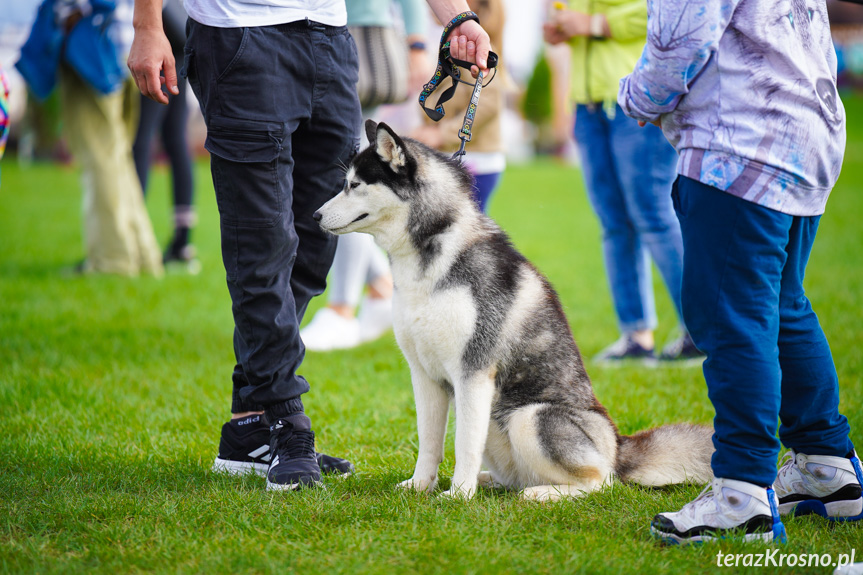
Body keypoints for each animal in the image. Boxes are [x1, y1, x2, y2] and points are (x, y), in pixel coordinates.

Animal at [314, 120, 712, 500]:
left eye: (354, 185)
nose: (315, 215)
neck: (430, 253)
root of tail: (619, 447)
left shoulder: (473, 373)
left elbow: (463, 444)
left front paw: (458, 496)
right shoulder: (424, 374)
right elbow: (429, 441)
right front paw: (421, 486)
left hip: (529, 416)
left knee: (601, 482)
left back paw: (538, 494)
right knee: (517, 475)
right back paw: (491, 482)